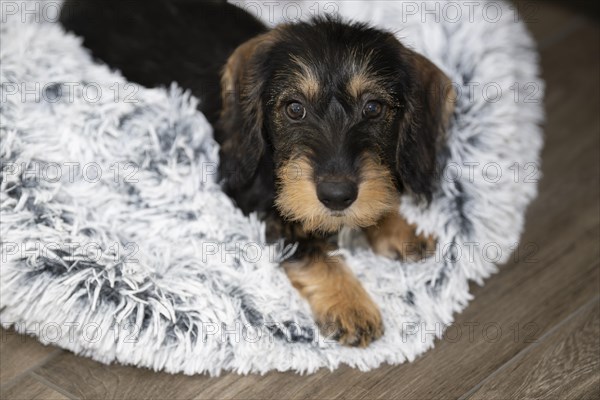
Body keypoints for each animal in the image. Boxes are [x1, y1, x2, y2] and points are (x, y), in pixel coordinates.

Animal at [61, 0, 454, 346]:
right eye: (294, 108)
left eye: (373, 108)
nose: (337, 196)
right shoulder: (263, 208)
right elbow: (312, 252)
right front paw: (350, 305)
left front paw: (398, 227)